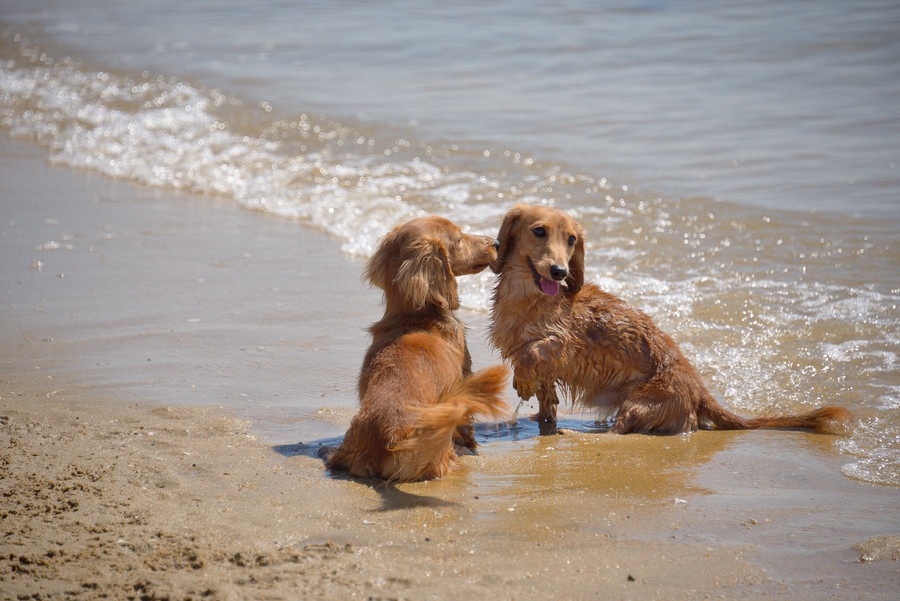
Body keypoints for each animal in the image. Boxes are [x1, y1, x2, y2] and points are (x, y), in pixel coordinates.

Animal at [322, 213, 506, 480]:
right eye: (459, 239)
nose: (496, 243)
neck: (415, 318)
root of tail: (391, 437)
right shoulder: (464, 376)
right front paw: (470, 443)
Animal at [488, 204, 856, 434]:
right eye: (539, 231)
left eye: (571, 240)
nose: (560, 271)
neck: (530, 298)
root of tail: (699, 391)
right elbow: (545, 398)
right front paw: (539, 415)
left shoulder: (564, 341)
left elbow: (532, 352)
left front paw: (522, 383)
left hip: (639, 402)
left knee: (621, 432)